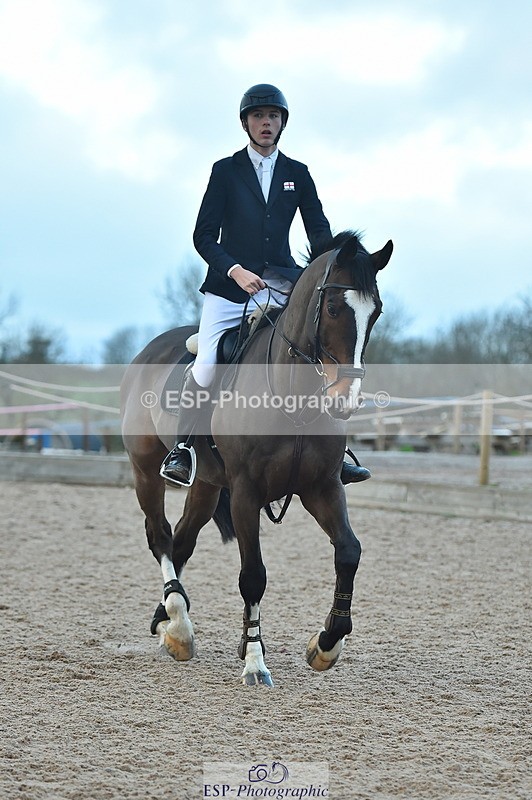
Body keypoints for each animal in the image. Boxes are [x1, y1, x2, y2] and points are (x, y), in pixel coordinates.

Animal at [120, 231, 393, 686]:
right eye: (333, 308)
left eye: (376, 313)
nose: (345, 400)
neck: (293, 396)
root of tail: (149, 349)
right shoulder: (246, 494)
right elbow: (254, 576)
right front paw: (254, 661)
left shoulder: (322, 487)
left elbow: (348, 552)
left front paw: (326, 644)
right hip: (146, 470)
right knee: (160, 536)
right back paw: (179, 623)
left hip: (207, 485)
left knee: (183, 540)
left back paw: (171, 626)